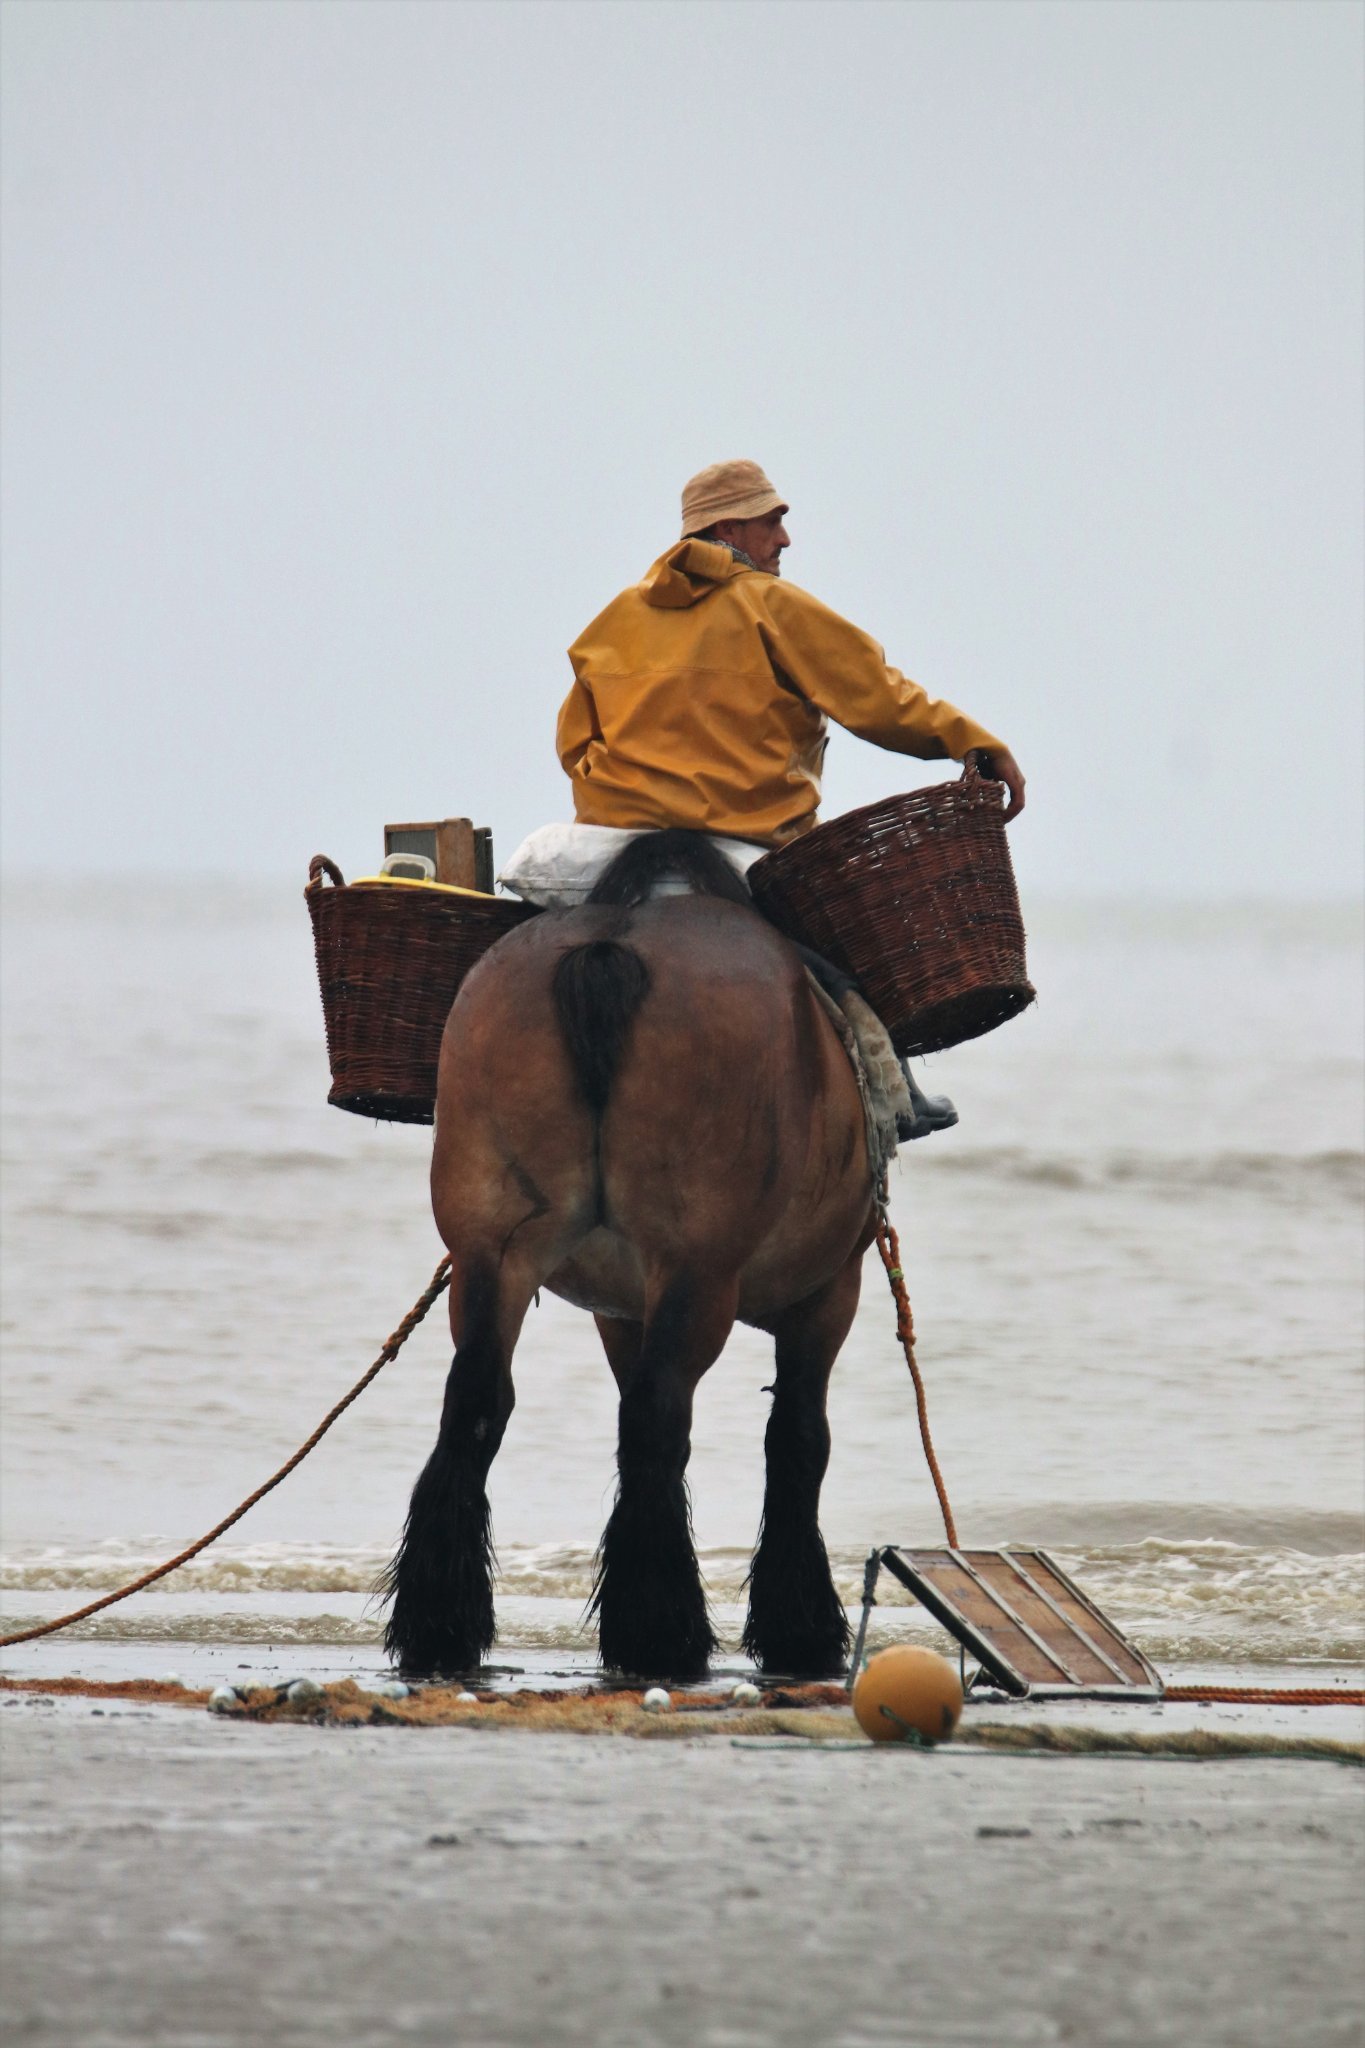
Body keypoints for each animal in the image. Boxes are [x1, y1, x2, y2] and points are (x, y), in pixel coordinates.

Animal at [378, 831, 879, 1679]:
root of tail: (613, 944)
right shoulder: (829, 1290)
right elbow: (798, 1439)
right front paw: (800, 1627)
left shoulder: (619, 1307)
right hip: (698, 1273)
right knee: (657, 1415)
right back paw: (661, 1632)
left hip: (491, 1253)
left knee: (476, 1402)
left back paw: (442, 1625)